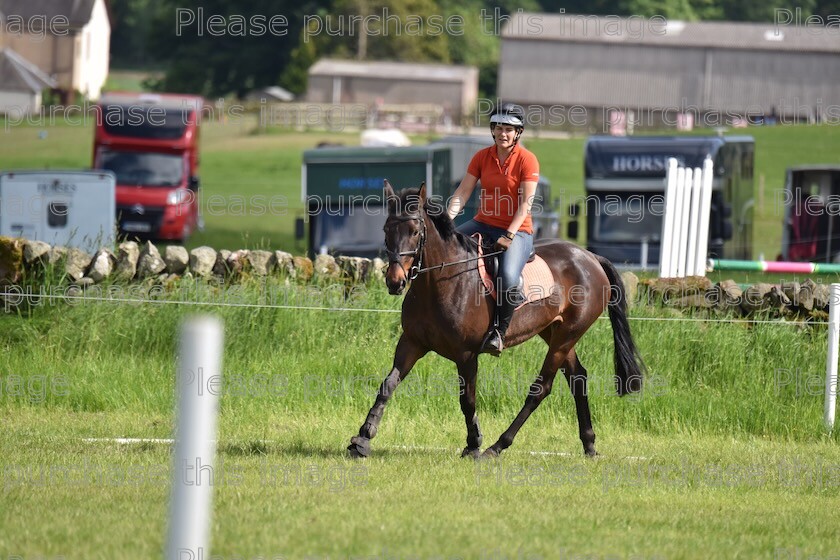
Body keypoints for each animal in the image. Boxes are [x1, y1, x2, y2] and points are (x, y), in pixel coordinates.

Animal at [344, 182, 648, 458]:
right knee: (578, 378)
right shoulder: (411, 343)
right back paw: (589, 445)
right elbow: (387, 385)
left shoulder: (466, 354)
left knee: (541, 389)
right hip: (556, 332)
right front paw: (362, 439)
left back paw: (498, 446)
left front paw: (473, 444)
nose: (395, 281)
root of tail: (590, 257)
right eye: (386, 230)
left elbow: (467, 400)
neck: (439, 282)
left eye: (415, 232)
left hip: (567, 335)